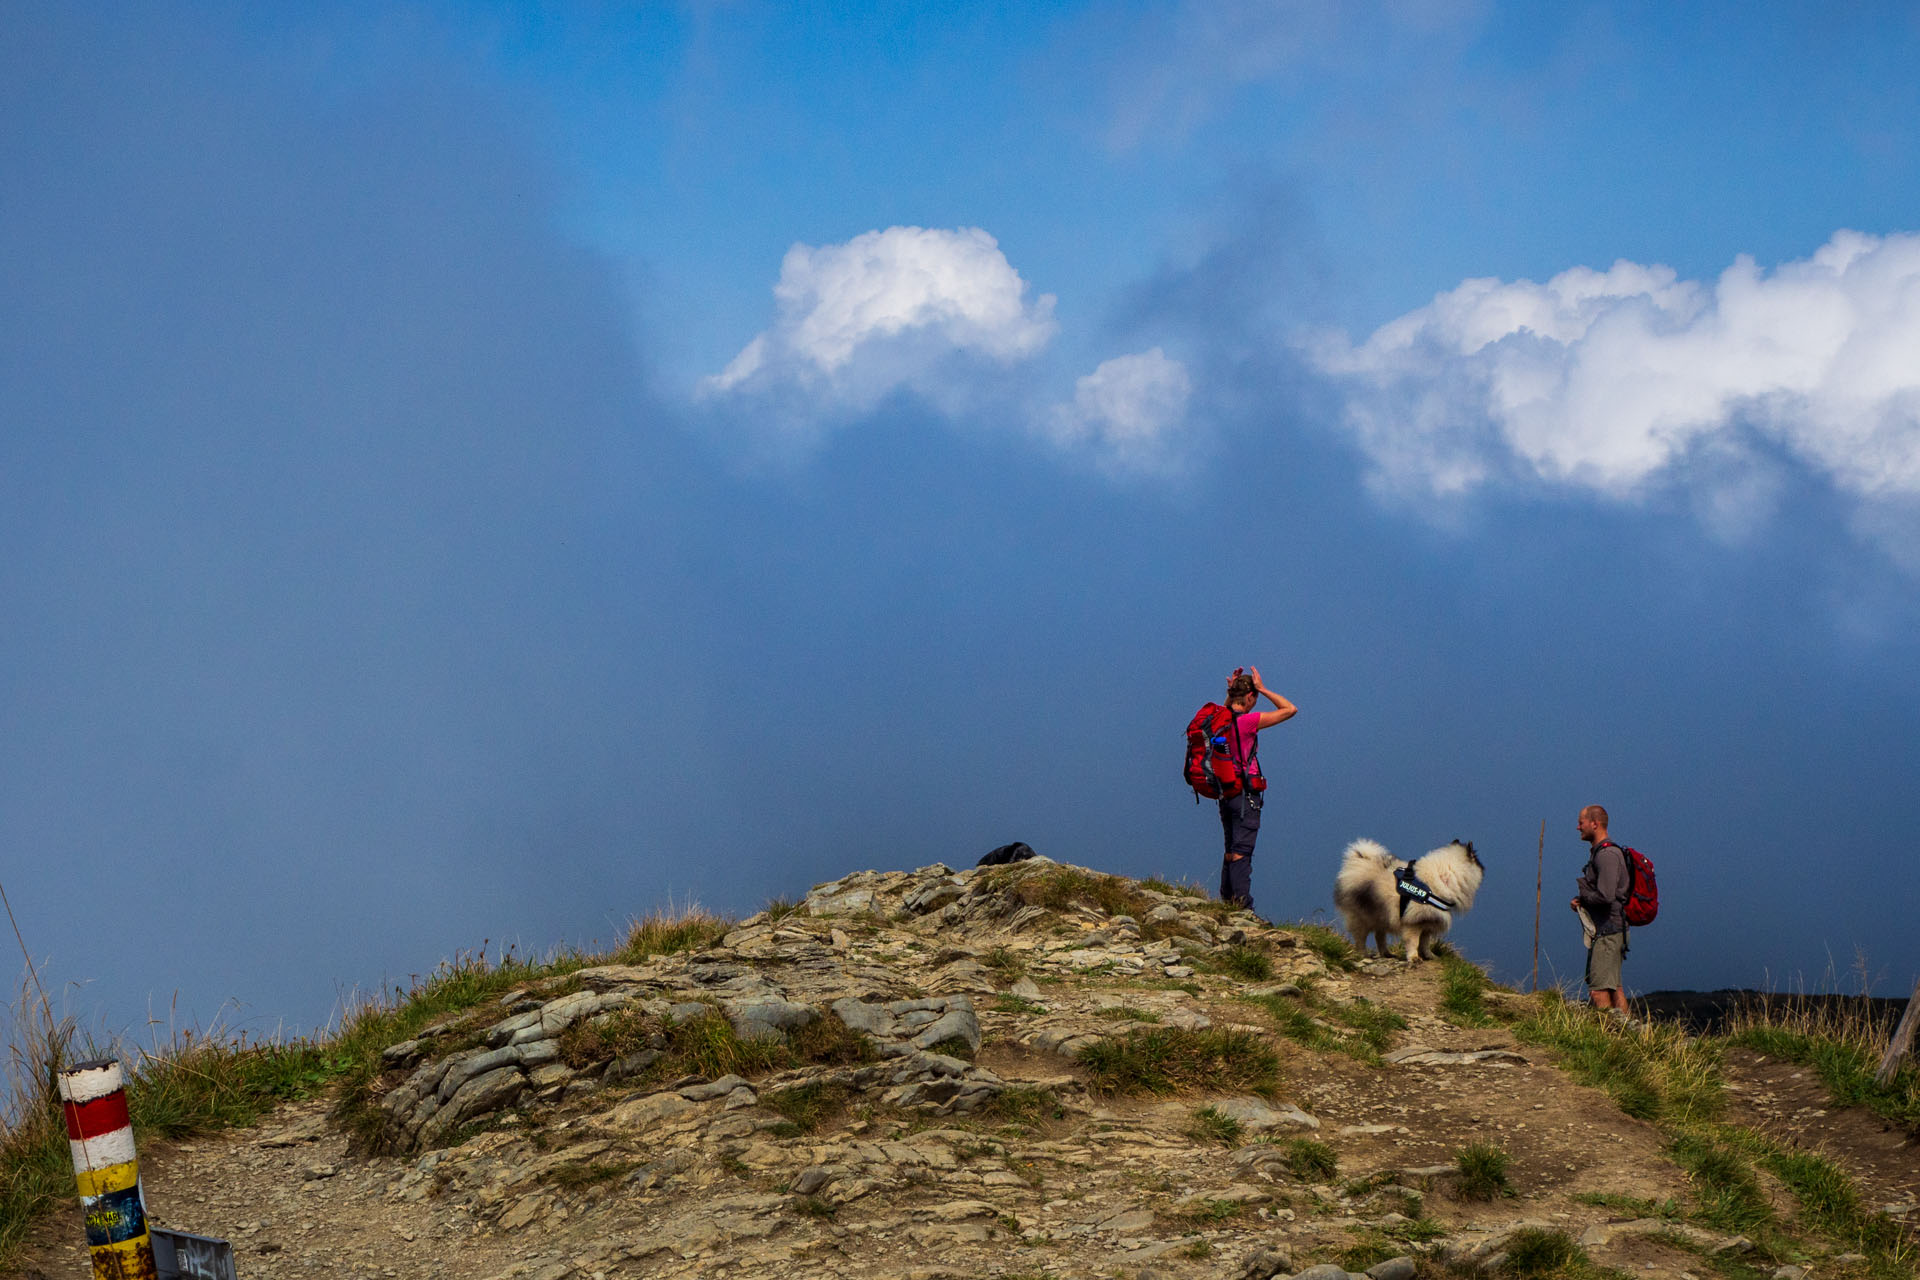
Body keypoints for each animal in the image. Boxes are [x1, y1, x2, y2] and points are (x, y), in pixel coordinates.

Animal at [1336, 840, 1482, 959]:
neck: (1445, 876)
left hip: (1381, 915)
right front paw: (1414, 957)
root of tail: (1358, 862)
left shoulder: (1427, 922)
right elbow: (1414, 942)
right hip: (1362, 916)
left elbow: (1425, 943)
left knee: (1379, 936)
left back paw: (1387, 954)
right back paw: (1363, 954)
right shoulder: (1414, 923)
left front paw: (1429, 956)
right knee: (1360, 938)